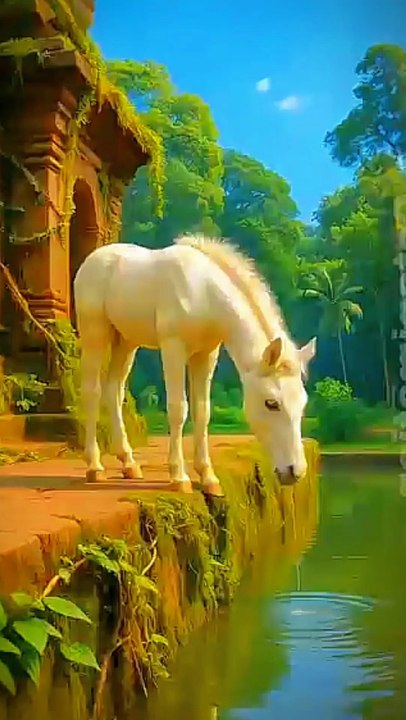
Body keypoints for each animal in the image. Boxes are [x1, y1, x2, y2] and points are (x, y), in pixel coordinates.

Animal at [74, 234, 316, 496]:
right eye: (271, 403)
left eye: (302, 403)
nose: (294, 472)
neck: (203, 292)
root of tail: (92, 260)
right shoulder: (173, 348)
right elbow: (178, 408)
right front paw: (179, 477)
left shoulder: (206, 355)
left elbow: (202, 411)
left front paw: (208, 477)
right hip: (95, 333)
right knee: (92, 391)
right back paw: (95, 466)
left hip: (126, 342)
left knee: (114, 391)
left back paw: (129, 463)